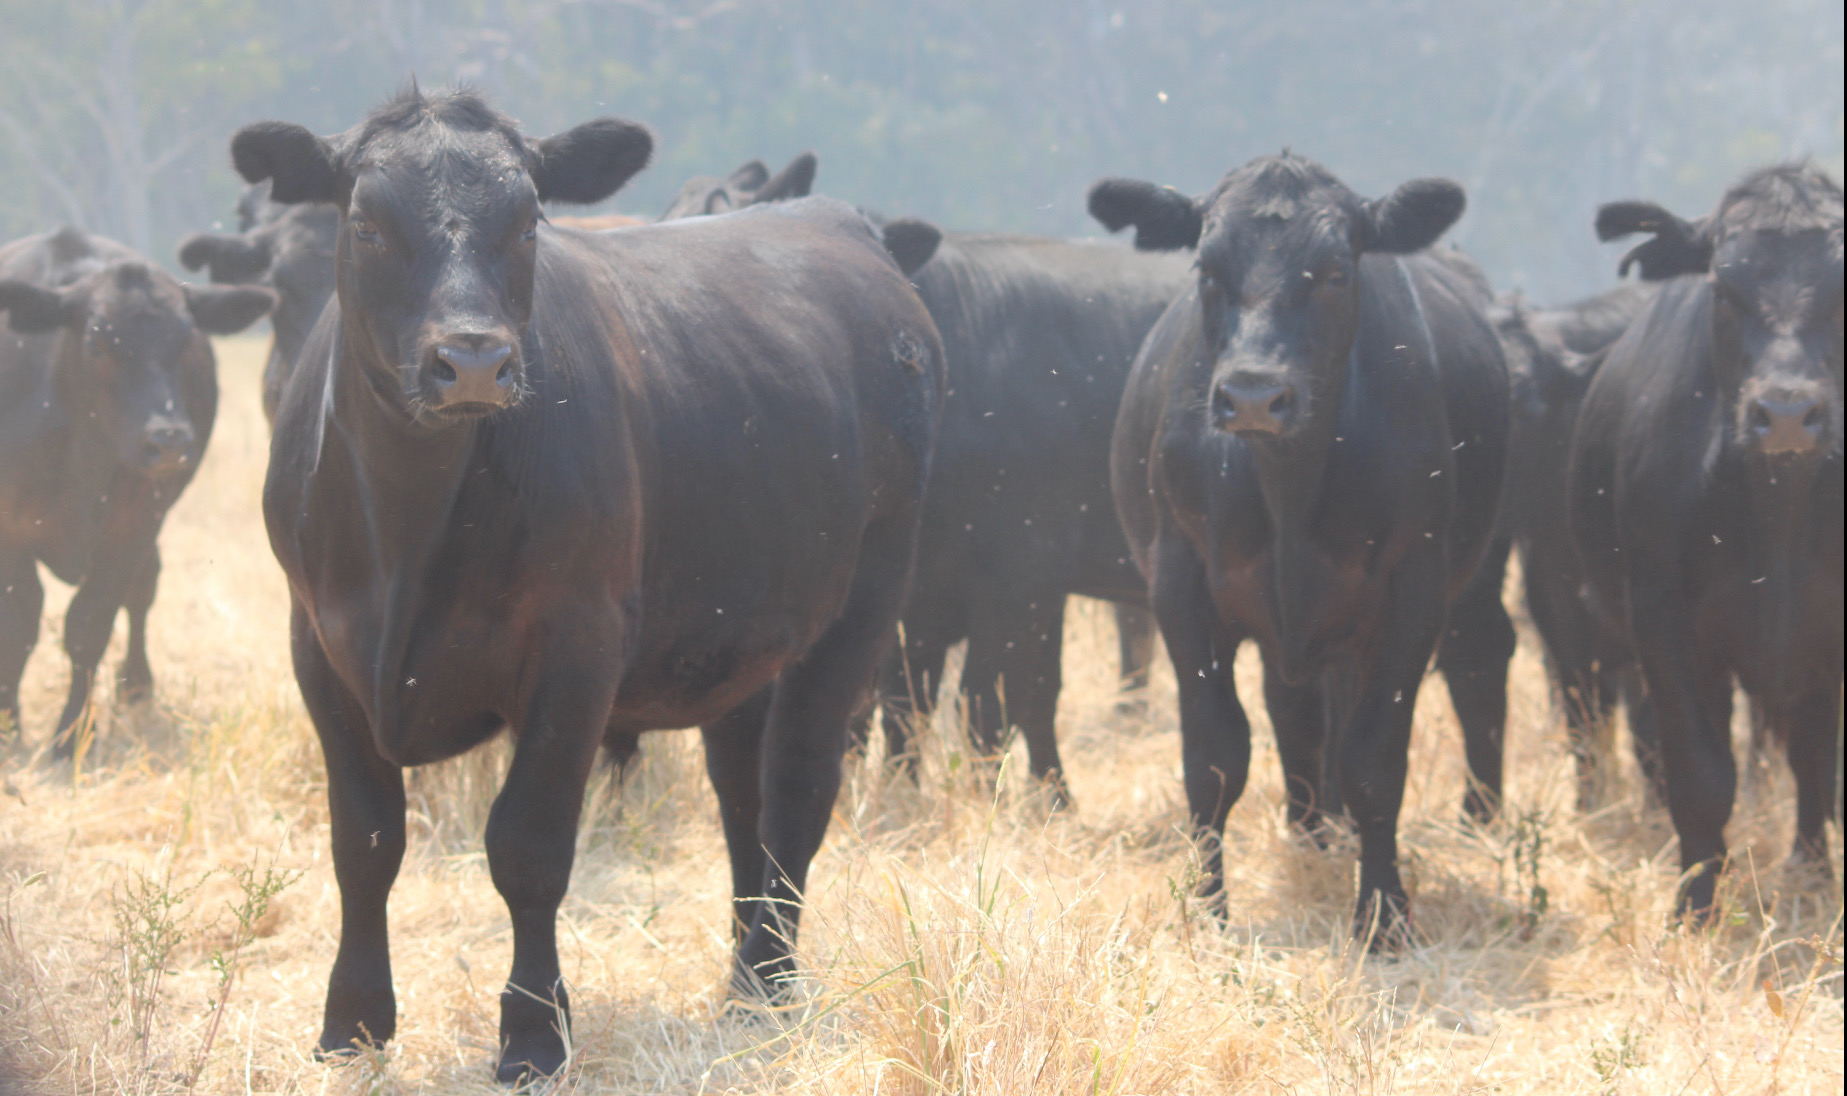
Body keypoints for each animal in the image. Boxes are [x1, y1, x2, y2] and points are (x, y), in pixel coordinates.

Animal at [0, 227, 275, 756]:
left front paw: (72, 737)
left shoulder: (134, 524)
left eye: (187, 340)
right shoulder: (11, 529)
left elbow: (89, 624)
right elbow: (17, 623)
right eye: (96, 342)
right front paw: (9, 726)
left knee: (142, 589)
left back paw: (137, 688)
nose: (168, 440)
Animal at [231, 88, 943, 1081]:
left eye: (529, 221)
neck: (406, 527)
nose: (474, 361)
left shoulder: (577, 648)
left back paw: (768, 980)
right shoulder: (320, 648)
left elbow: (527, 846)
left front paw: (534, 1031)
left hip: (865, 596)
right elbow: (364, 840)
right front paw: (352, 1022)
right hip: (738, 628)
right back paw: (743, 970)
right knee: (741, 793)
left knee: (798, 785)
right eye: (366, 224)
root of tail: (834, 222)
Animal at [860, 232, 1190, 802]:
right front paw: (900, 794)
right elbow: (909, 703)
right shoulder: (919, 598)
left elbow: (995, 701)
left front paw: (1006, 797)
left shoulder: (1022, 579)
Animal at [1089, 153, 1509, 944]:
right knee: (1296, 717)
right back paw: (1311, 833)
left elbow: (1374, 760)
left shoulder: (1413, 595)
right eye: (1206, 267)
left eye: (1337, 270)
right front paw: (1209, 909)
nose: (1254, 395)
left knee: (1467, 672)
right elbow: (1215, 756)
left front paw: (1383, 915)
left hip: (1464, 591)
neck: (1289, 489)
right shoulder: (1181, 587)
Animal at [1570, 164, 1842, 918]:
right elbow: (1699, 775)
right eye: (1723, 287)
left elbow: (1819, 768)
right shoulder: (1664, 623)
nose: (1788, 412)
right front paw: (1695, 905)